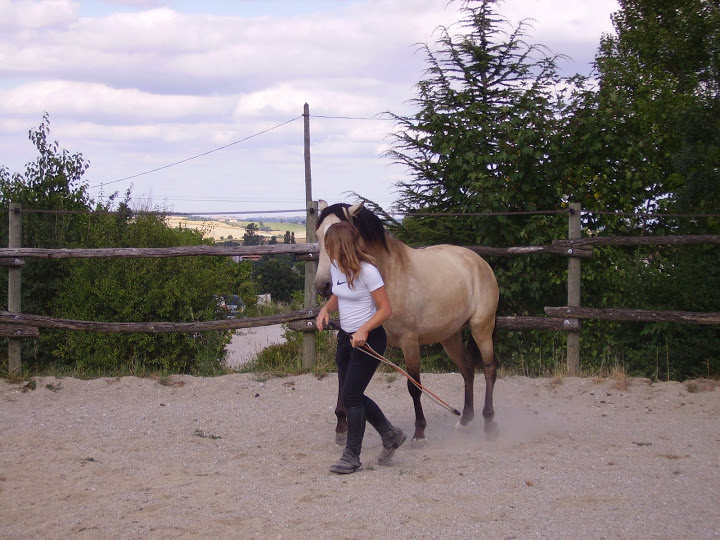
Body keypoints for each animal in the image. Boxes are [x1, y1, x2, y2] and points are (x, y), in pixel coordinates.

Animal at [316, 200, 500, 440]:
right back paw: (465, 420)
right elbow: (343, 381)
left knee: (489, 369)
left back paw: (488, 422)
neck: (388, 276)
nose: (323, 286)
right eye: (318, 235)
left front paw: (419, 432)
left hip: (482, 328)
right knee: (467, 369)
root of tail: (479, 261)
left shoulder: (409, 341)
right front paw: (341, 426)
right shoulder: (356, 342)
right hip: (450, 336)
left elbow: (414, 386)